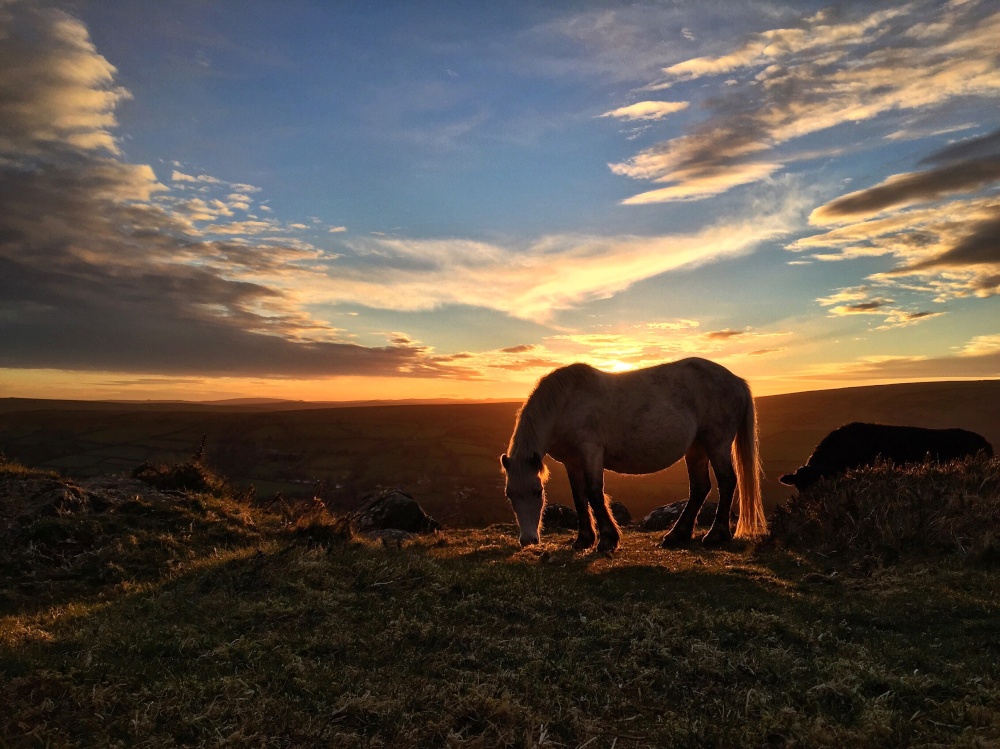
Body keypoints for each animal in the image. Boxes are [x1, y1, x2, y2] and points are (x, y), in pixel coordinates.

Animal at [500, 358, 767, 551]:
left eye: (538, 492)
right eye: (510, 495)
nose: (528, 540)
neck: (565, 403)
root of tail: (737, 381)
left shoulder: (591, 453)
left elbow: (594, 493)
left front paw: (608, 539)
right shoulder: (572, 461)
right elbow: (579, 496)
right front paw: (584, 539)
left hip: (717, 445)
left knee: (727, 481)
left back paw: (716, 534)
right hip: (697, 448)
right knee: (700, 487)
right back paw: (677, 535)